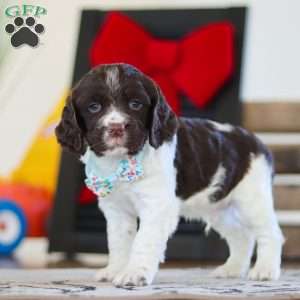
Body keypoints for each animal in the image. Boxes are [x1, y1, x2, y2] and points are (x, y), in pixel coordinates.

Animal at [56, 62, 284, 286]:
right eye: (94, 107)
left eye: (136, 104)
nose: (116, 127)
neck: (122, 162)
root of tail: (257, 142)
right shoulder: (116, 209)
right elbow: (119, 241)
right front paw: (115, 270)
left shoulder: (157, 205)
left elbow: (144, 240)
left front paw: (134, 274)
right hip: (218, 207)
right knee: (242, 236)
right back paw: (233, 269)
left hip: (252, 199)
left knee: (270, 233)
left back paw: (265, 270)